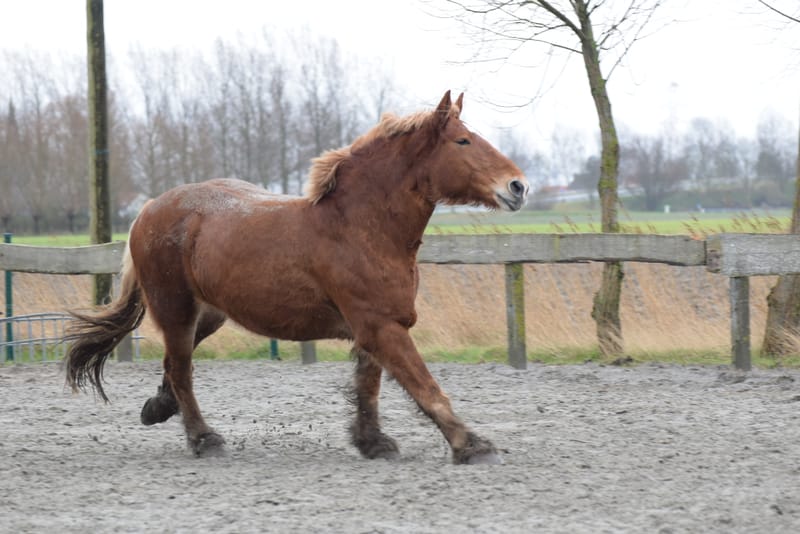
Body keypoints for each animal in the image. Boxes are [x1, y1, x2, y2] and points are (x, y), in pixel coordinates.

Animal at [65, 91, 529, 464]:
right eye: (462, 140)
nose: (518, 186)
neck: (359, 227)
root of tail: (148, 209)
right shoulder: (382, 326)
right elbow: (426, 388)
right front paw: (472, 446)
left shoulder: (376, 327)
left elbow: (369, 386)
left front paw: (373, 443)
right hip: (175, 309)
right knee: (181, 369)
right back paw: (204, 439)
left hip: (209, 314)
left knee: (173, 365)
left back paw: (158, 408)